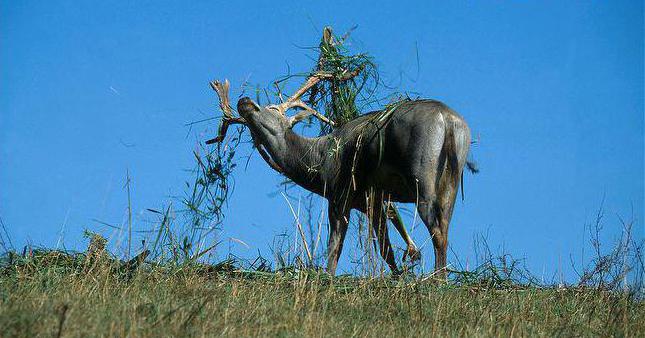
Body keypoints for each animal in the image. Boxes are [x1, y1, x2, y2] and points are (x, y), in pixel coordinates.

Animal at [208, 72, 472, 276]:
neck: (317, 163)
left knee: (437, 229)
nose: (244, 100)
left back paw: (438, 280)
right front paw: (400, 275)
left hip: (421, 173)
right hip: (451, 181)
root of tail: (449, 121)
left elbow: (335, 246)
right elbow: (385, 250)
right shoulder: (372, 200)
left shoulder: (339, 192)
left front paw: (328, 278)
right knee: (445, 225)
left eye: (272, 108)